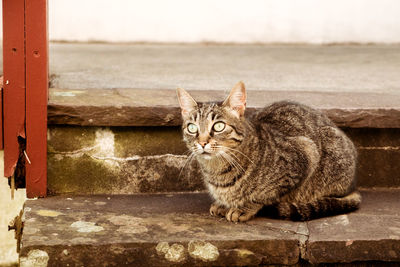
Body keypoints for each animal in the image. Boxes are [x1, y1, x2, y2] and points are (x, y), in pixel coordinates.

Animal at [177, 82, 360, 224]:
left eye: (219, 126)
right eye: (192, 128)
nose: (202, 142)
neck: (217, 171)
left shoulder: (305, 153)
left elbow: (263, 196)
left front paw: (243, 208)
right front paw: (223, 204)